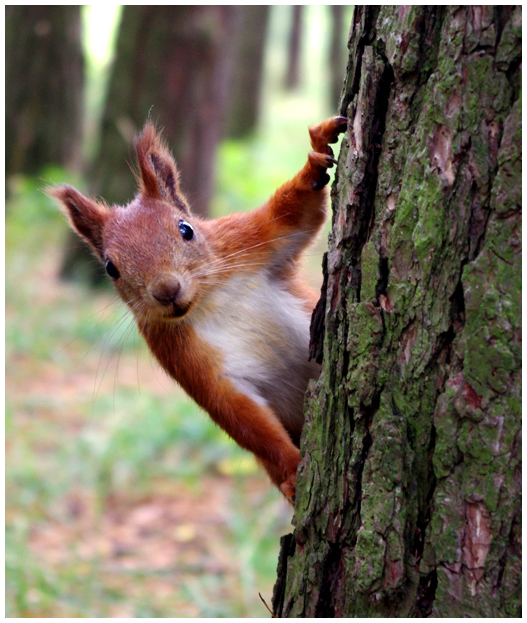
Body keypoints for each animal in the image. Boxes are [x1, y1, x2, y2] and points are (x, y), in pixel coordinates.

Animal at [48, 117, 346, 504]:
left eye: (185, 229)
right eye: (111, 268)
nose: (166, 291)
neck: (208, 299)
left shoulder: (246, 238)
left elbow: (295, 214)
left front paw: (318, 153)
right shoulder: (180, 353)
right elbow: (237, 413)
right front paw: (292, 471)